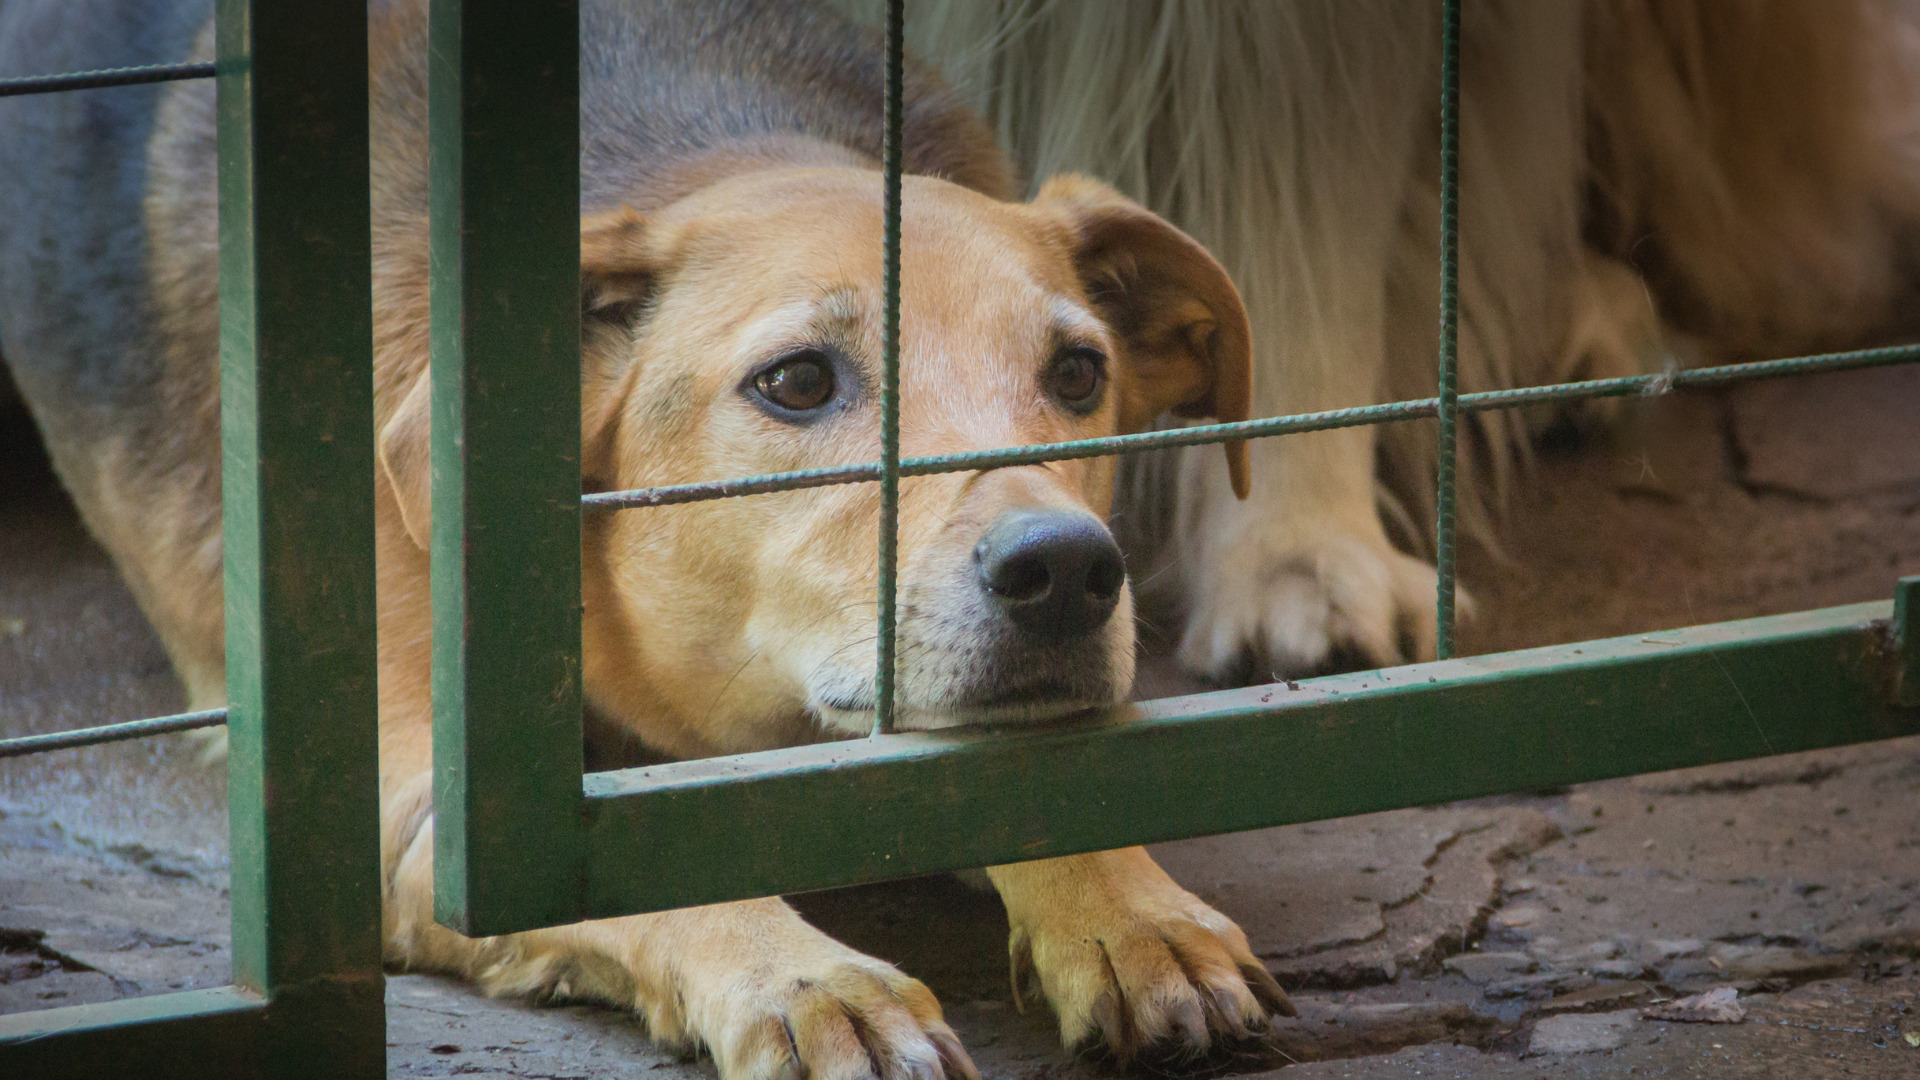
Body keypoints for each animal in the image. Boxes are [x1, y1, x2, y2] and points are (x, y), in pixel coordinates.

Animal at [3, 0, 1290, 1068]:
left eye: (1078, 374)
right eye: (797, 382)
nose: (1065, 569)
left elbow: (1044, 778)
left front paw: (1131, 910)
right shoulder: (420, 801)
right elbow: (619, 867)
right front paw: (805, 977)